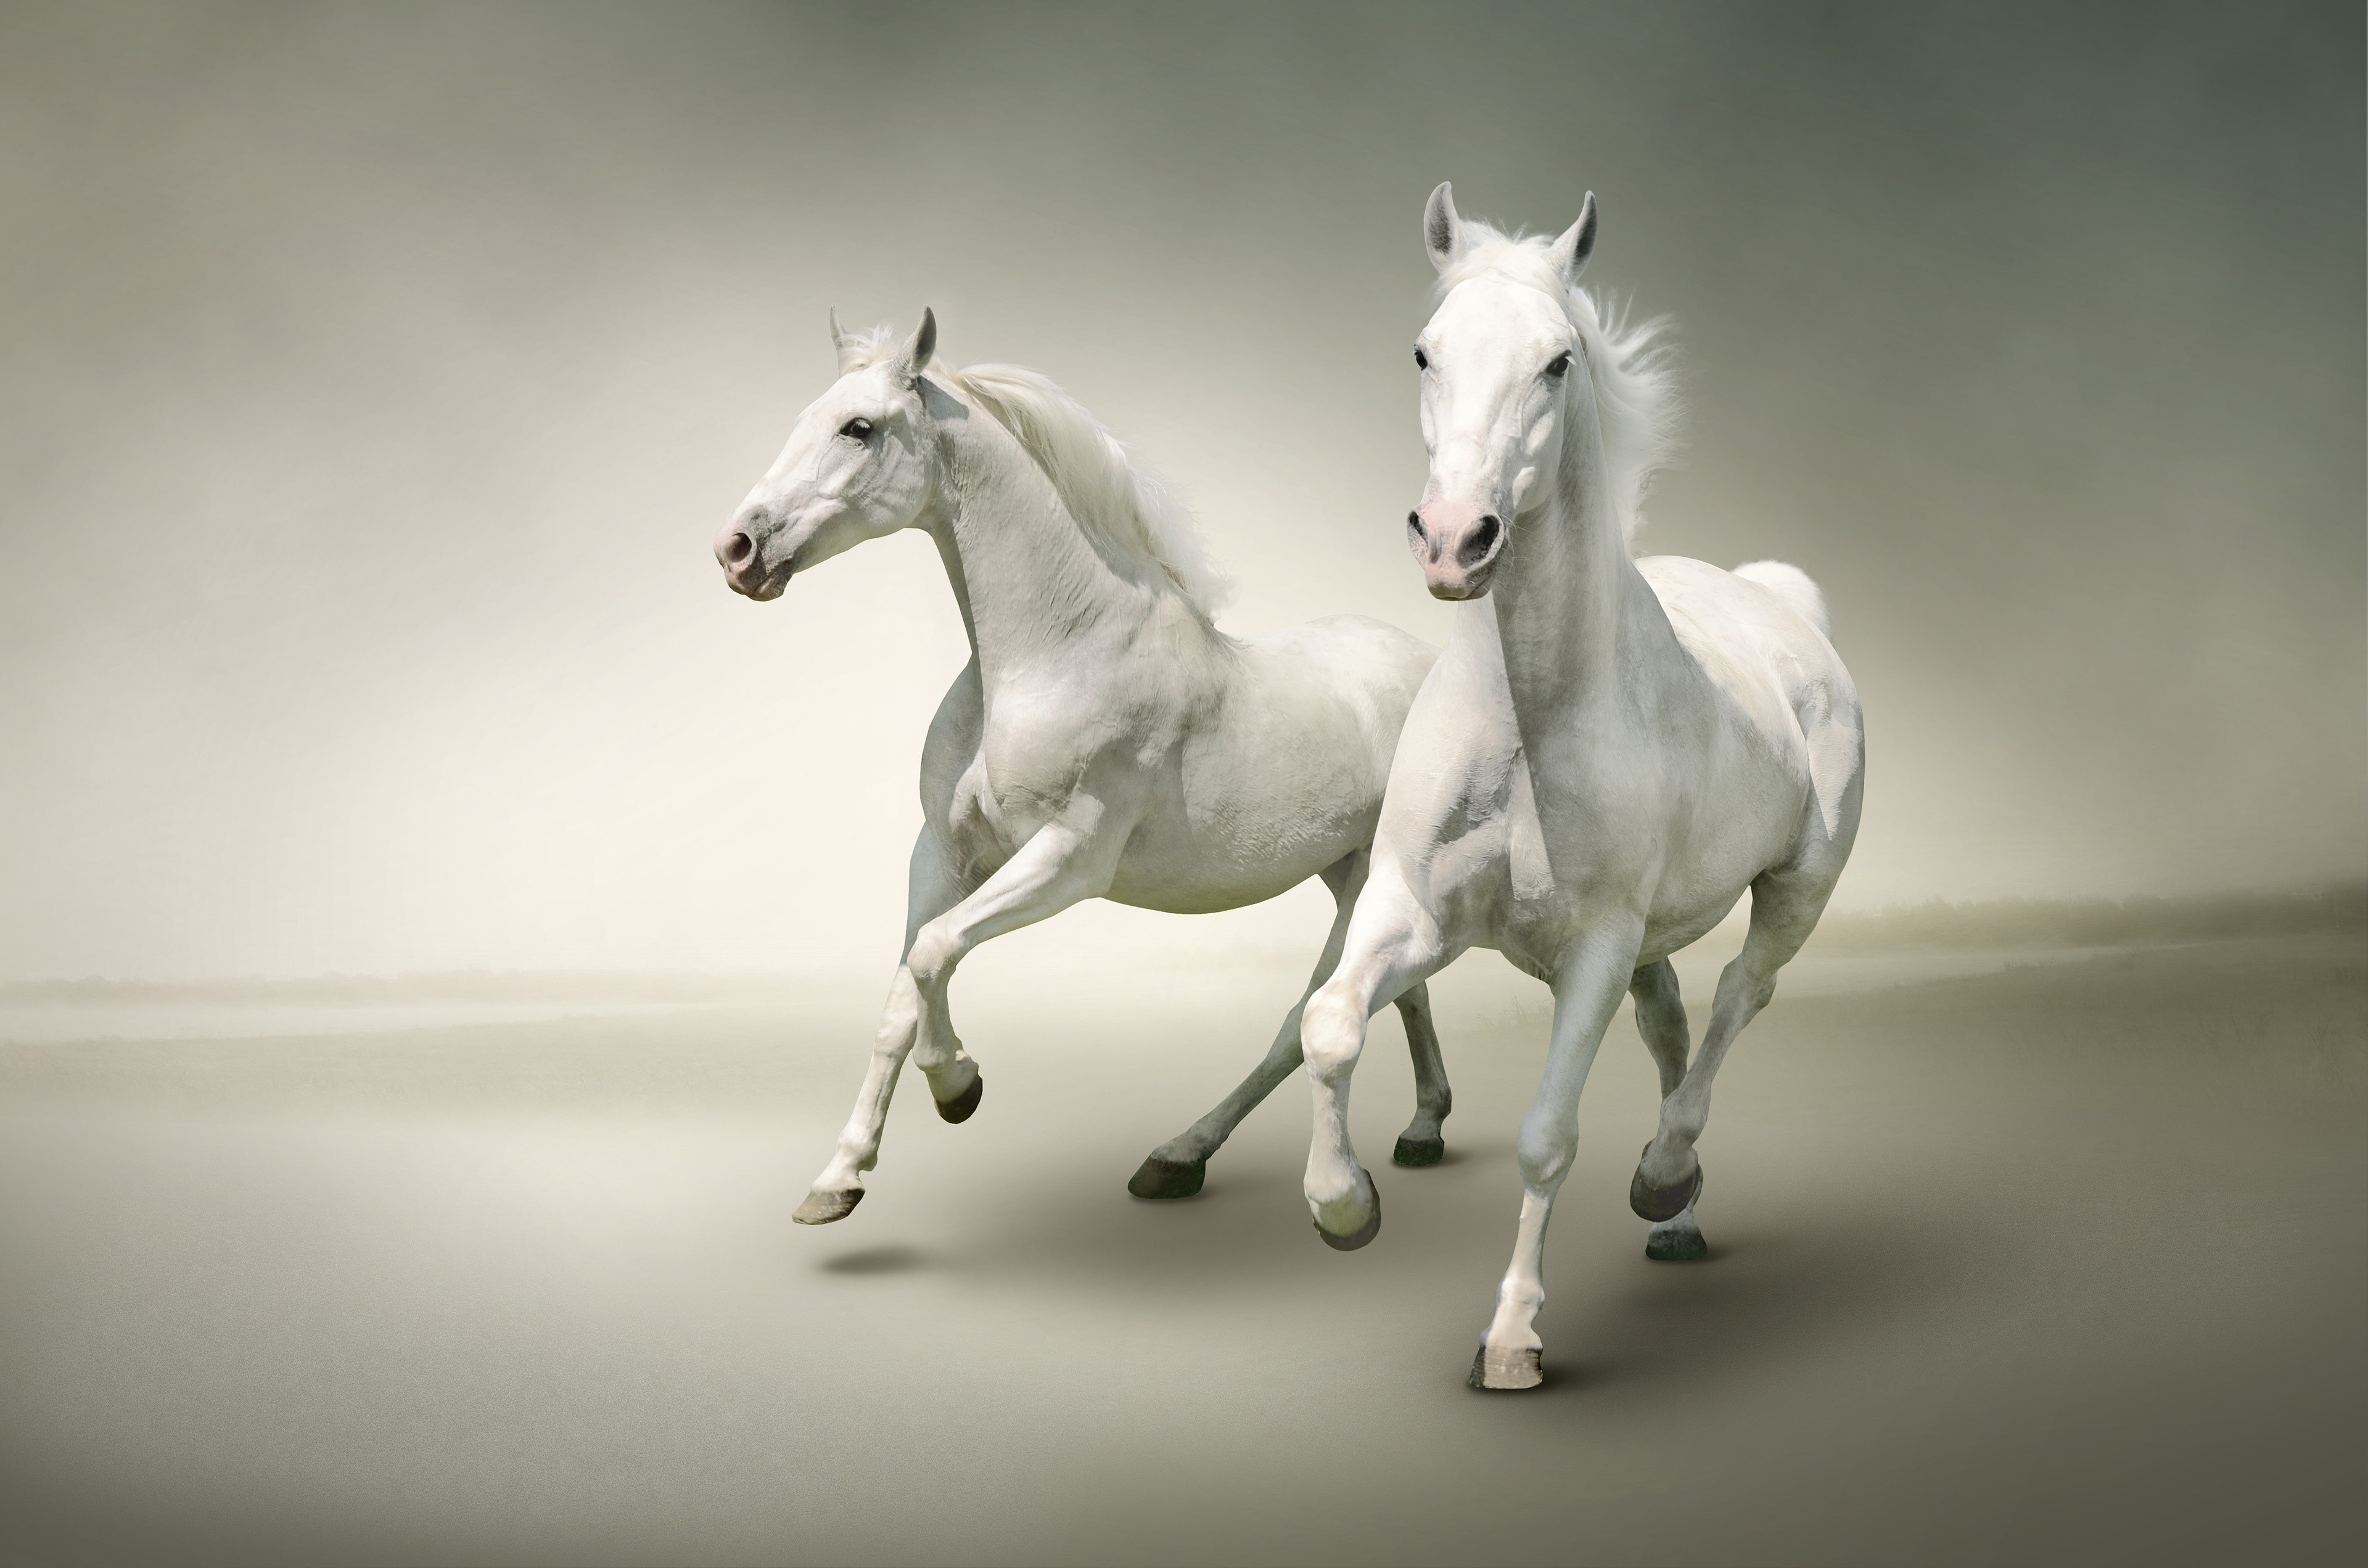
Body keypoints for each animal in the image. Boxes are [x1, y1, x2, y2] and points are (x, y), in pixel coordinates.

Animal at [713, 309, 1460, 1224]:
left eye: (859, 426)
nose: (738, 548)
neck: (1056, 652)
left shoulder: (1068, 860)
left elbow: (933, 954)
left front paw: (958, 1085)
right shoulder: (942, 853)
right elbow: (900, 994)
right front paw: (838, 1178)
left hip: (1366, 883)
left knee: (1307, 1017)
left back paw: (1187, 1156)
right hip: (1348, 868)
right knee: (1401, 990)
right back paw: (1420, 1129)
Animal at [1295, 186, 1865, 1389]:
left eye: (1557, 361)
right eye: (1425, 350)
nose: (1454, 539)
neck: (1526, 721)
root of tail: (1782, 602)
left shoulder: (1594, 949)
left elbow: (1546, 1135)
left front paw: (1512, 1338)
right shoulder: (1415, 910)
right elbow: (1329, 1022)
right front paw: (1345, 1205)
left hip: (1797, 890)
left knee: (1740, 996)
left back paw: (1665, 1173)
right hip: (1655, 938)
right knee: (1674, 1022)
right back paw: (1678, 1215)